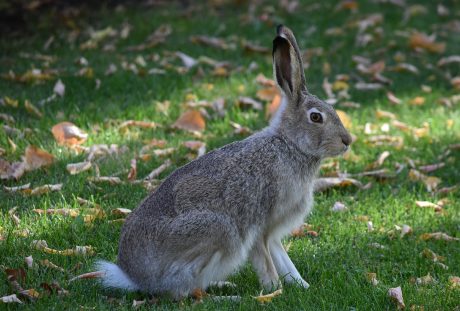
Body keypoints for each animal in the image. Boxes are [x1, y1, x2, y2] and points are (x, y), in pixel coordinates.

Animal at [95, 25, 350, 300]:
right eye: (316, 117)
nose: (347, 141)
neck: (289, 145)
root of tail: (134, 277)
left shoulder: (272, 233)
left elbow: (283, 259)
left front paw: (302, 286)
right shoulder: (259, 225)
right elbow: (266, 262)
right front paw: (273, 290)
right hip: (219, 231)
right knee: (180, 291)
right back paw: (227, 296)